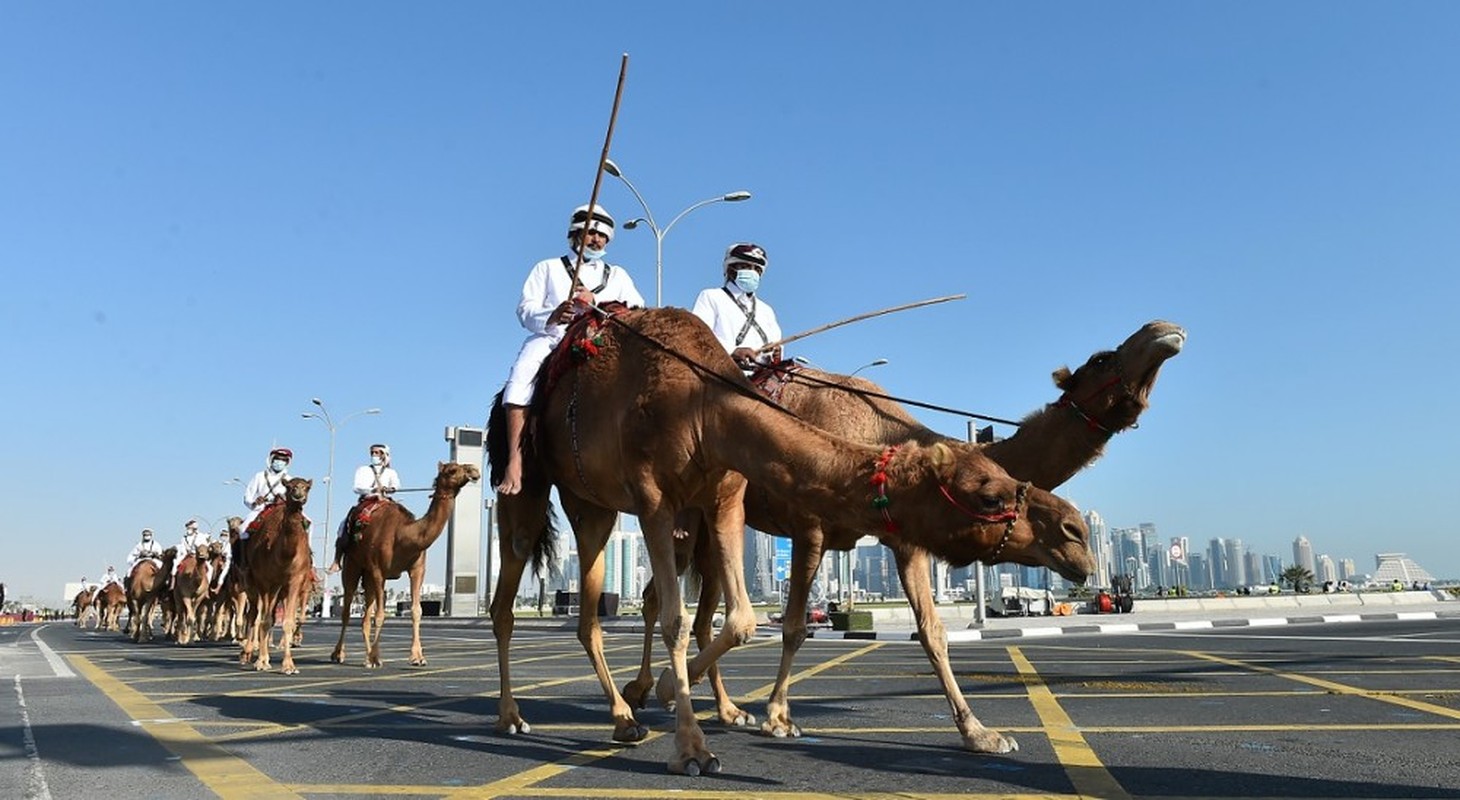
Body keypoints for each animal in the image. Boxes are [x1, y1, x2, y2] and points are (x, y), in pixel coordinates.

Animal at [239, 478, 313, 671]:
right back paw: (247, 654)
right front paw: (261, 661)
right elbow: (263, 620)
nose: (298, 495)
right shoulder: (265, 581)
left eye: (307, 487)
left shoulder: (294, 581)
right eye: (289, 486)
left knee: (268, 616)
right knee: (254, 615)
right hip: (252, 586)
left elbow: (287, 622)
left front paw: (289, 665)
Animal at [329, 455, 478, 668]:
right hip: (352, 565)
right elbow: (380, 615)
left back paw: (367, 657)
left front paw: (417, 657)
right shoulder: (378, 570)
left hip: (367, 576)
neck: (404, 535)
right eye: (451, 470)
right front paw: (375, 657)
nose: (474, 470)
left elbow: (416, 611)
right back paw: (339, 654)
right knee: (347, 609)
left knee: (365, 616)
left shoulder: (417, 569)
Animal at [484, 308, 1092, 776]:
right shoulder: (683, 504)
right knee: (511, 596)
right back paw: (519, 715)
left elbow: (748, 621)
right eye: (988, 495)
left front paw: (982, 734)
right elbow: (766, 624)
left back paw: (639, 714)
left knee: (599, 611)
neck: (702, 403)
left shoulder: (731, 499)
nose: (1078, 537)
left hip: (602, 506)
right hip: (537, 487)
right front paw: (706, 740)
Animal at [621, 321, 1179, 753]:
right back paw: (642, 691)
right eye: (1102, 358)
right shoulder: (809, 526)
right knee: (657, 599)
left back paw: (724, 709)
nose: (1166, 332)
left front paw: (981, 733)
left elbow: (932, 633)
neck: (881, 442)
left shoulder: (907, 540)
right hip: (692, 515)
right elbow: (796, 626)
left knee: (700, 612)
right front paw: (779, 718)